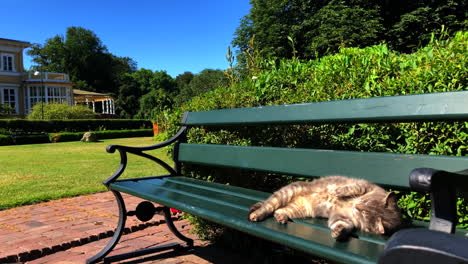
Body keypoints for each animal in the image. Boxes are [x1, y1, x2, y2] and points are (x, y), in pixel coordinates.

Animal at [247, 176, 404, 240]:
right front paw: (337, 192)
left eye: (365, 213)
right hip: (286, 193)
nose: (357, 205)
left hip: (298, 209)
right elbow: (353, 188)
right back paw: (256, 214)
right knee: (268, 206)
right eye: (365, 202)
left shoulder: (341, 217)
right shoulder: (365, 185)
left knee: (279, 210)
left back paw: (281, 216)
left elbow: (342, 224)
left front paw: (339, 232)